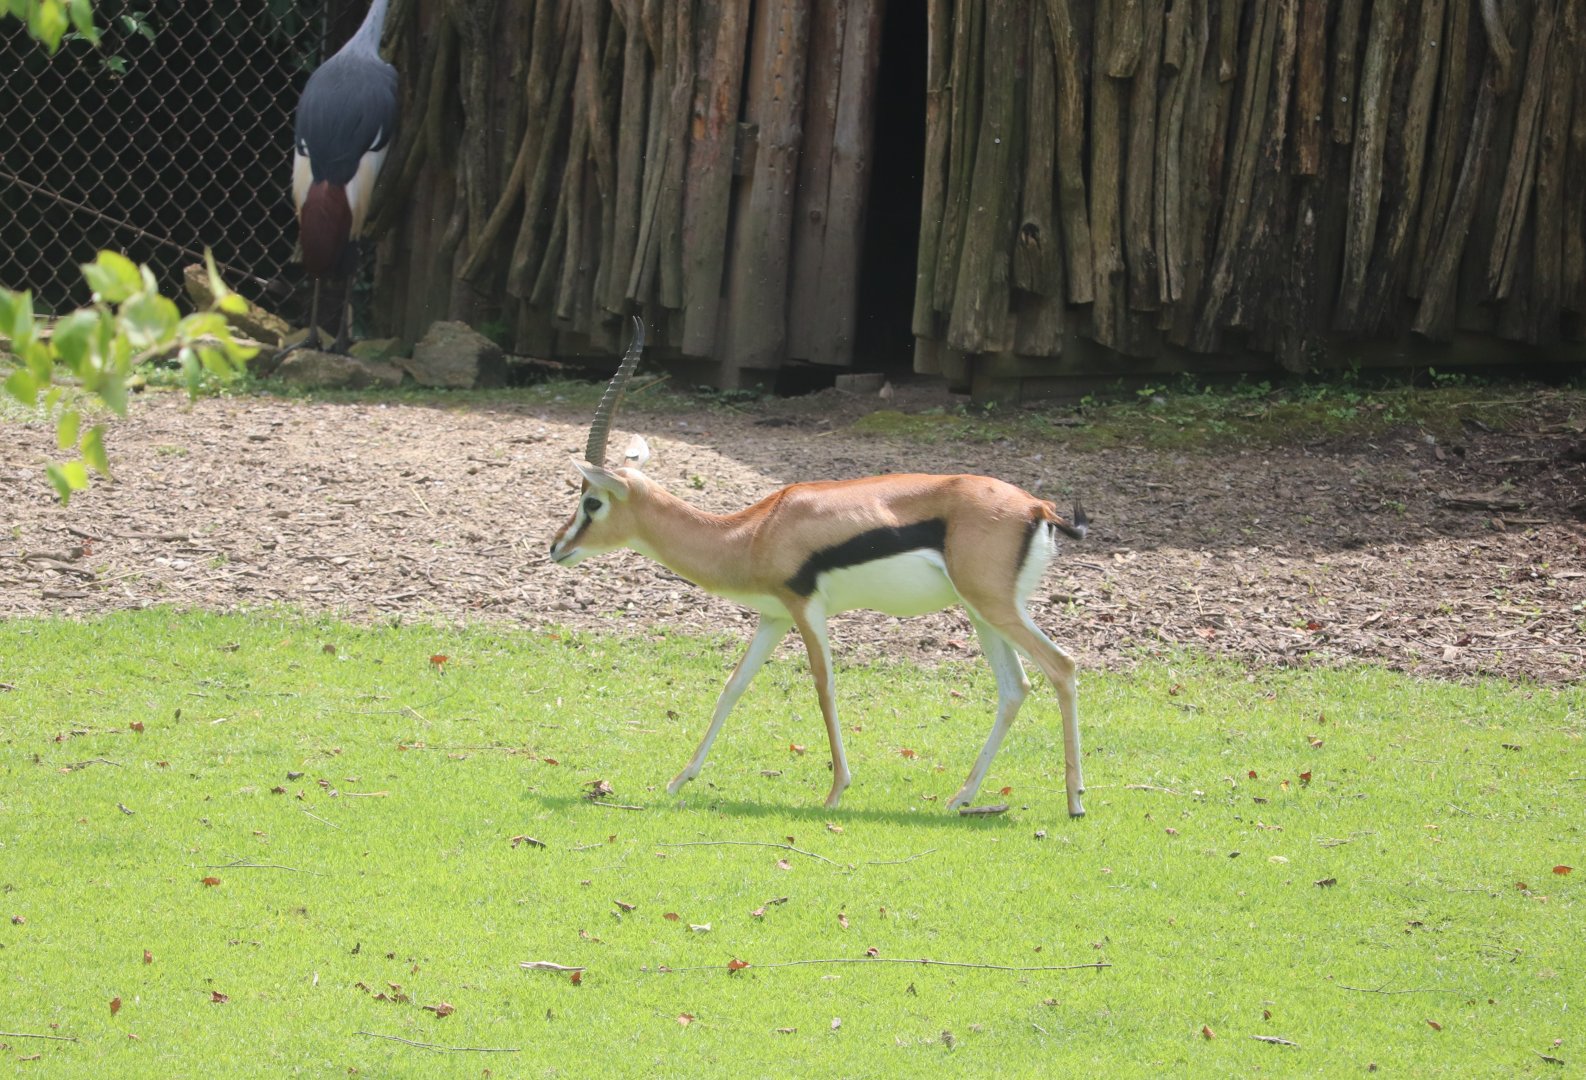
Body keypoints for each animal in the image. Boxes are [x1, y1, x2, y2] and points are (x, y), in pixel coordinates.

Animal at [550, 318, 1089, 816]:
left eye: (592, 502)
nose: (557, 547)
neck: (755, 531)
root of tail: (1038, 507)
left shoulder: (806, 608)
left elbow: (823, 685)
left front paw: (834, 792)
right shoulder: (773, 616)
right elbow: (733, 686)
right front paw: (679, 780)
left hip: (995, 607)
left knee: (1061, 666)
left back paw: (1075, 801)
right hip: (982, 611)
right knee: (1015, 687)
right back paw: (963, 796)